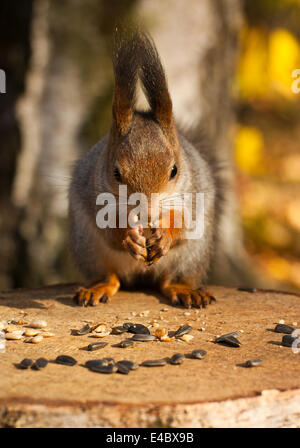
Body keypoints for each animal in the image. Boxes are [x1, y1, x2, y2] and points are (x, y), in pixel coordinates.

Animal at [69, 28, 221, 308]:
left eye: (174, 171)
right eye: (116, 173)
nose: (148, 213)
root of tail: (141, 278)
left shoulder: (193, 194)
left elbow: (184, 223)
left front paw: (165, 235)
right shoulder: (95, 197)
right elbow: (110, 231)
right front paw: (130, 236)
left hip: (193, 254)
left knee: (170, 280)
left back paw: (185, 289)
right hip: (88, 249)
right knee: (110, 276)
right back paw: (98, 287)